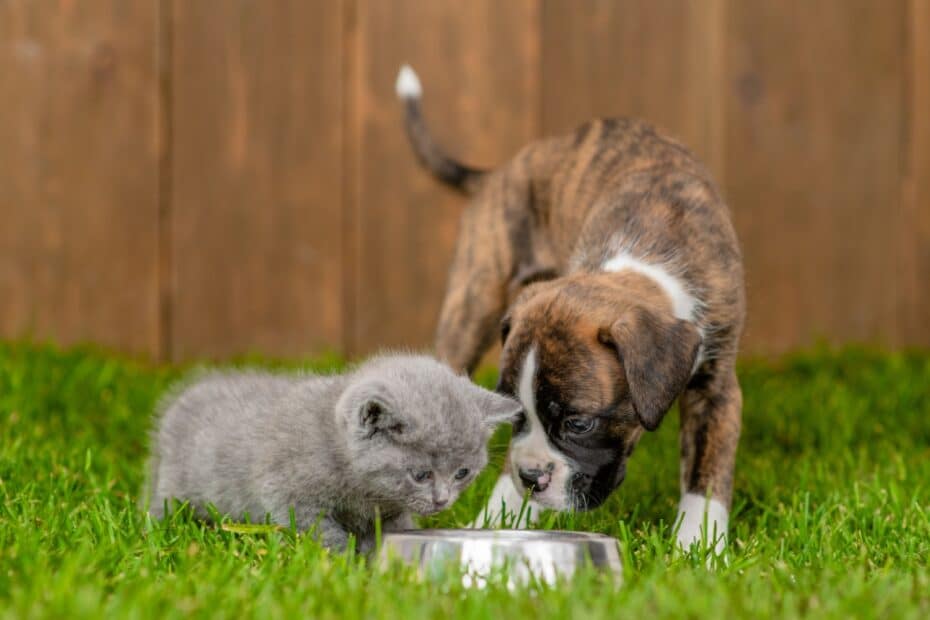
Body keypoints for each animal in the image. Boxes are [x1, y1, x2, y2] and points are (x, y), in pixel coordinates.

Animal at [149, 354, 520, 552]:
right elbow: (323, 532)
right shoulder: (290, 497)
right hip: (173, 486)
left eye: (462, 473)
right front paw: (346, 562)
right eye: (420, 474)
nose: (443, 501)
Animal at [396, 66, 744, 552]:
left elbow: (705, 476)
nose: (531, 478)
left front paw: (696, 547)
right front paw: (495, 523)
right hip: (473, 302)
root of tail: (498, 172)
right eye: (517, 413)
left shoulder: (717, 387)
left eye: (579, 423)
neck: (646, 254)